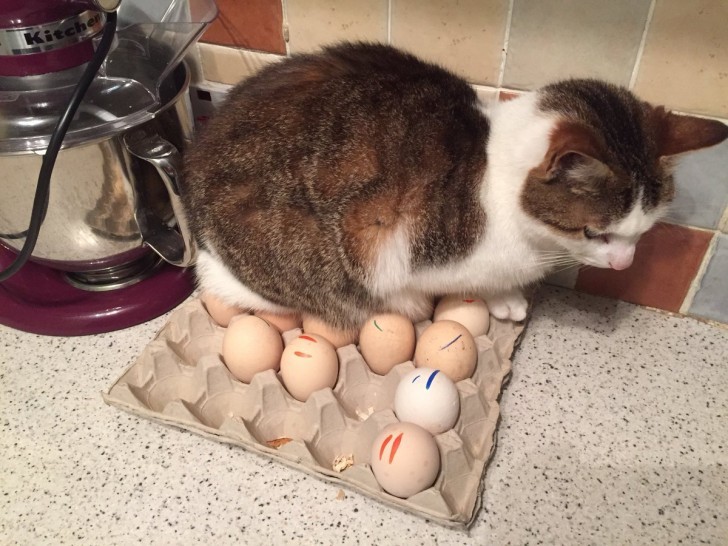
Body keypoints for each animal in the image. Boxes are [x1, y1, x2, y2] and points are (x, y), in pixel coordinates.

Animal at [181, 41, 728, 328]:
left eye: (644, 232)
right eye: (595, 233)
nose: (624, 264)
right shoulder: (407, 248)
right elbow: (466, 283)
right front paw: (497, 297)